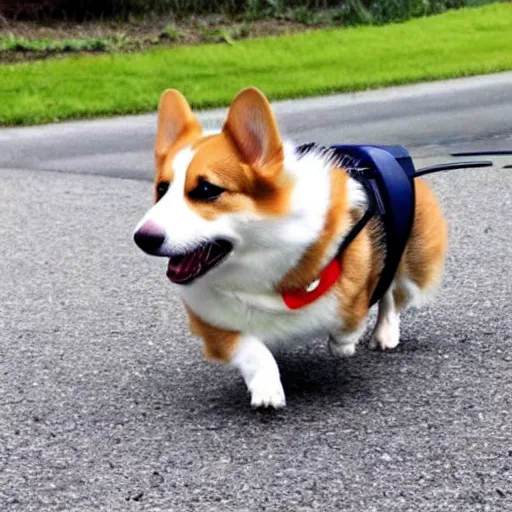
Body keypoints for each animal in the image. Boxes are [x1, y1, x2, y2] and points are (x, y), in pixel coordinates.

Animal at [133, 87, 448, 408]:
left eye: (207, 190)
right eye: (162, 189)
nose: (142, 238)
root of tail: (394, 154)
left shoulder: (355, 288)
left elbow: (350, 321)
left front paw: (343, 345)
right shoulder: (213, 321)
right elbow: (252, 349)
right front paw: (267, 389)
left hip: (411, 261)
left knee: (392, 291)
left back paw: (384, 333)